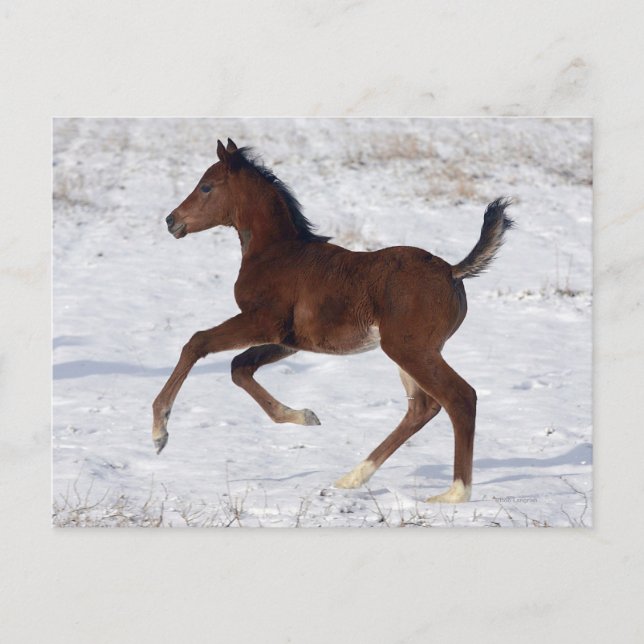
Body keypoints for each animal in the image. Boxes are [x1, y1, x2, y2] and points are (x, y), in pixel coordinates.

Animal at [152, 138, 513, 503]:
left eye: (206, 186)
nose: (171, 220)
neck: (275, 252)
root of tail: (453, 271)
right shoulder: (289, 340)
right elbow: (240, 367)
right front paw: (306, 416)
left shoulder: (263, 322)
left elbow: (197, 343)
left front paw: (159, 431)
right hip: (410, 351)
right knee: (422, 407)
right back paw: (351, 478)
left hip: (410, 349)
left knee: (460, 398)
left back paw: (454, 494)